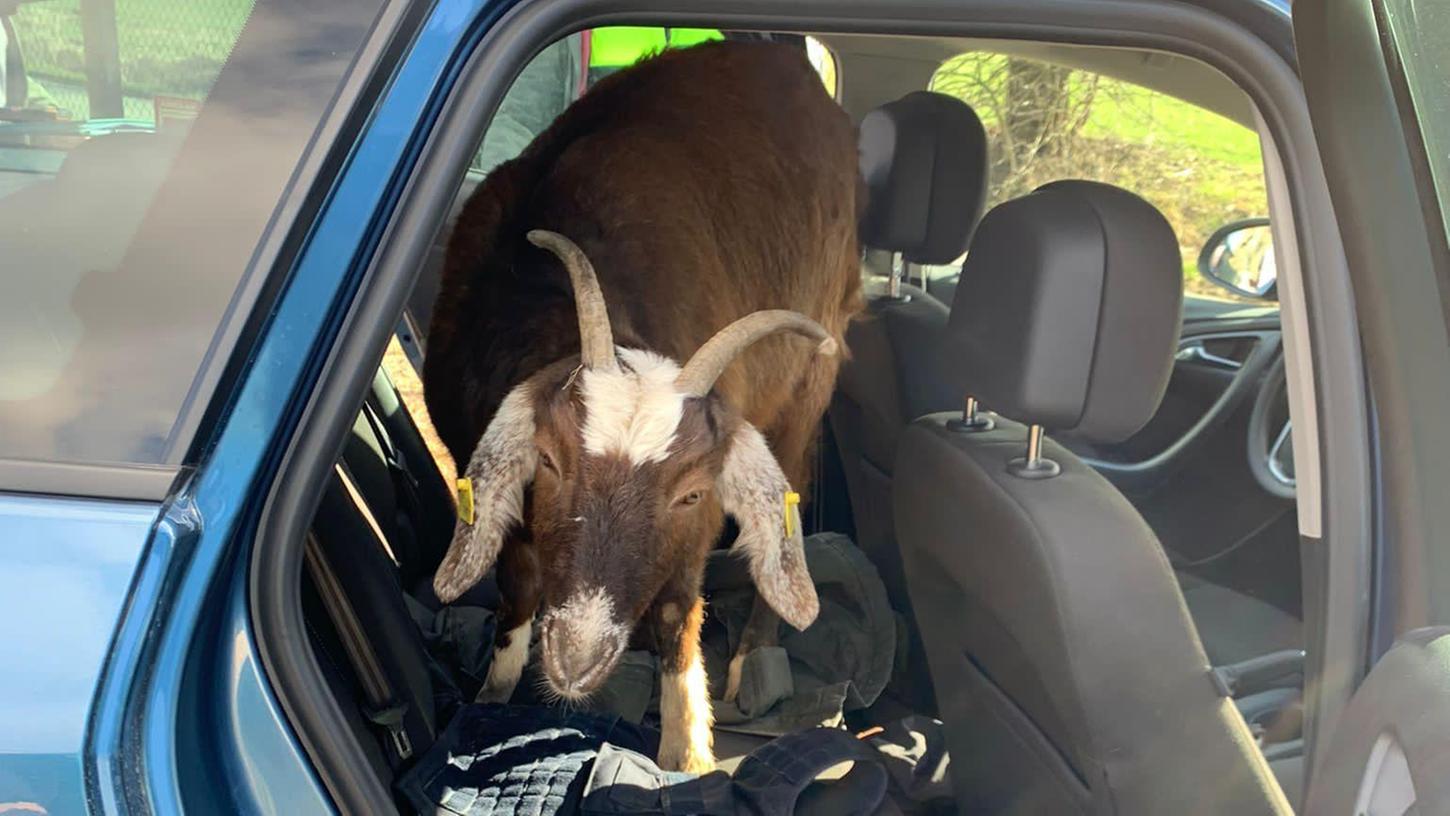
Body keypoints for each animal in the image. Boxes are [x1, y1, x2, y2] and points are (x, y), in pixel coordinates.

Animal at [423, 43, 858, 771]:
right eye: (549, 462)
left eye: (689, 493)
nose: (578, 656)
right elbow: (516, 583)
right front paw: (494, 693)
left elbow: (679, 607)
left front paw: (688, 749)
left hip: (811, 375)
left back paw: (754, 657)